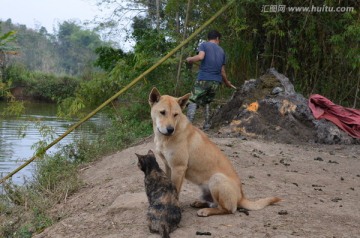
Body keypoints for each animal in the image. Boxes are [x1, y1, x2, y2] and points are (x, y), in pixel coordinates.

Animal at [148, 88, 280, 218]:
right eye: (162, 112)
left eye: (176, 115)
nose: (170, 130)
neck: (164, 138)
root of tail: (241, 197)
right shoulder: (168, 166)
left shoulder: (178, 168)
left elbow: (175, 190)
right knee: (214, 203)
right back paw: (200, 203)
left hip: (216, 179)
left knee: (227, 209)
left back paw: (206, 211)